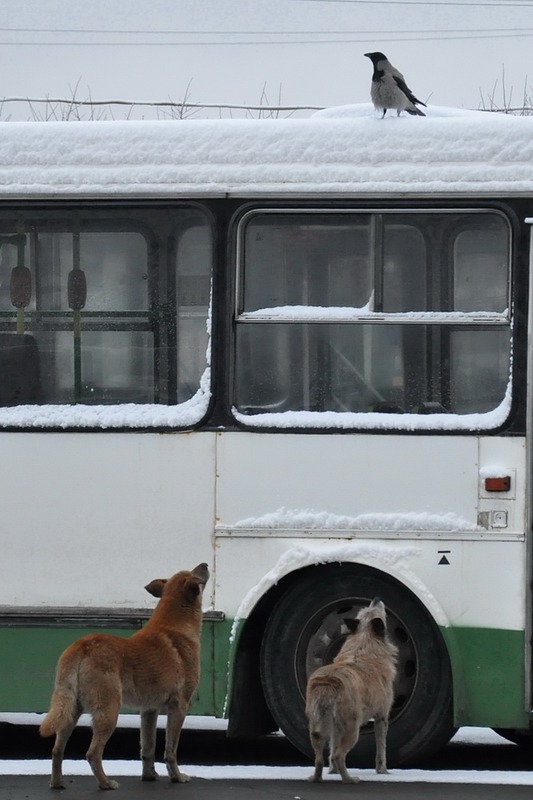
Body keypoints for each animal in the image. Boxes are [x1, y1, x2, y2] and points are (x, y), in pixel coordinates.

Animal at [39, 564, 208, 792]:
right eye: (194, 574)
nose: (205, 564)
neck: (175, 627)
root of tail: (83, 646)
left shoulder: (149, 710)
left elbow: (148, 747)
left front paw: (149, 776)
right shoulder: (179, 707)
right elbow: (170, 750)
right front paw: (177, 777)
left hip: (71, 711)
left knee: (57, 750)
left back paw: (57, 783)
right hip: (109, 711)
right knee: (93, 753)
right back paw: (105, 783)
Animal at [306, 596, 396, 784]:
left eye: (365, 610)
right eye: (377, 612)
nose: (376, 598)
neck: (364, 640)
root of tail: (328, 684)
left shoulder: (334, 729)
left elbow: (331, 752)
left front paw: (332, 771)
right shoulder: (382, 717)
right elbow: (381, 750)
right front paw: (383, 771)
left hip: (317, 728)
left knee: (320, 759)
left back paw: (317, 778)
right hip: (352, 730)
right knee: (339, 756)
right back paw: (349, 779)